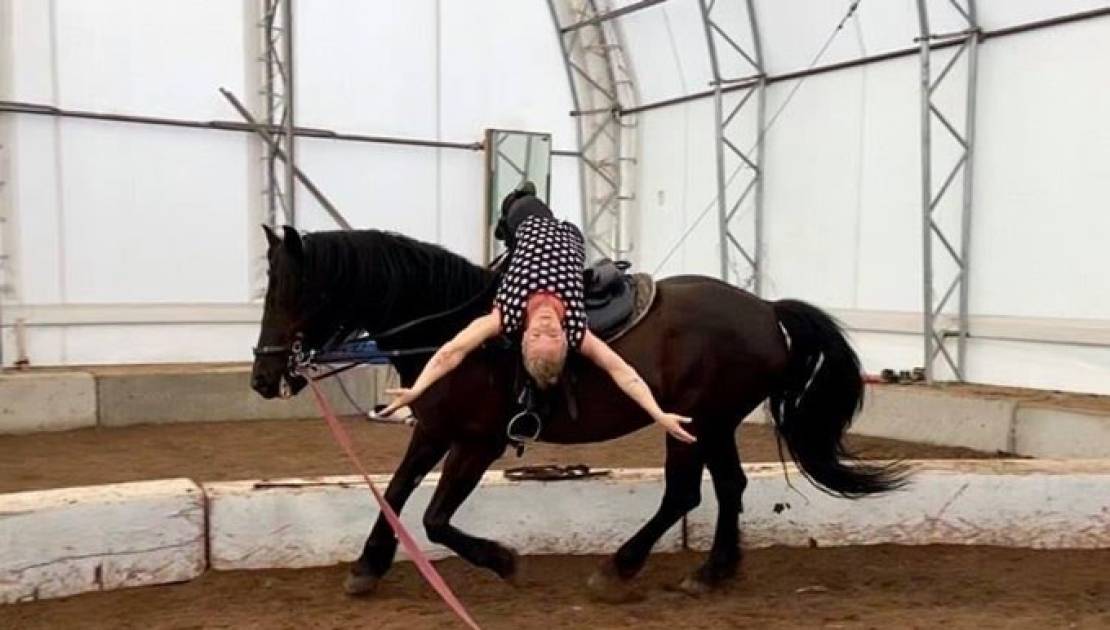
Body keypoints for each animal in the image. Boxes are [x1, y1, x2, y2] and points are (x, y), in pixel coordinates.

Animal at [251, 224, 901, 598]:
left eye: (291, 290)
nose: (262, 377)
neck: (449, 326)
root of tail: (767, 310)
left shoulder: (479, 440)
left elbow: (435, 516)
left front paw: (502, 561)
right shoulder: (435, 428)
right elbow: (396, 491)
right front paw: (368, 566)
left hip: (697, 424)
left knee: (684, 495)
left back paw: (621, 569)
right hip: (711, 426)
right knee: (728, 488)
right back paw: (712, 570)